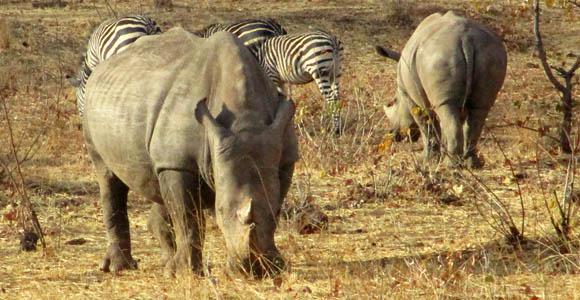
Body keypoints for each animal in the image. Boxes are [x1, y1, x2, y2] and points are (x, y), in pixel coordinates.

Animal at [82, 27, 300, 278]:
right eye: (220, 212)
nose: (251, 269)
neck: (245, 119)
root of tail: (105, 63)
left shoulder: (284, 156)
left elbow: (273, 199)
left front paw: (274, 267)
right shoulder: (179, 163)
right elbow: (188, 217)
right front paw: (187, 273)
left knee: (158, 183)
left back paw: (167, 264)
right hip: (92, 107)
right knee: (108, 177)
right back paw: (121, 267)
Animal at [376, 10, 508, 168]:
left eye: (394, 102)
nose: (394, 134)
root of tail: (466, 39)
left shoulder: (411, 98)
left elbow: (427, 125)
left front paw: (427, 160)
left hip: (439, 57)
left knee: (448, 110)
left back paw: (450, 165)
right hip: (491, 54)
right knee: (479, 109)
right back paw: (472, 164)